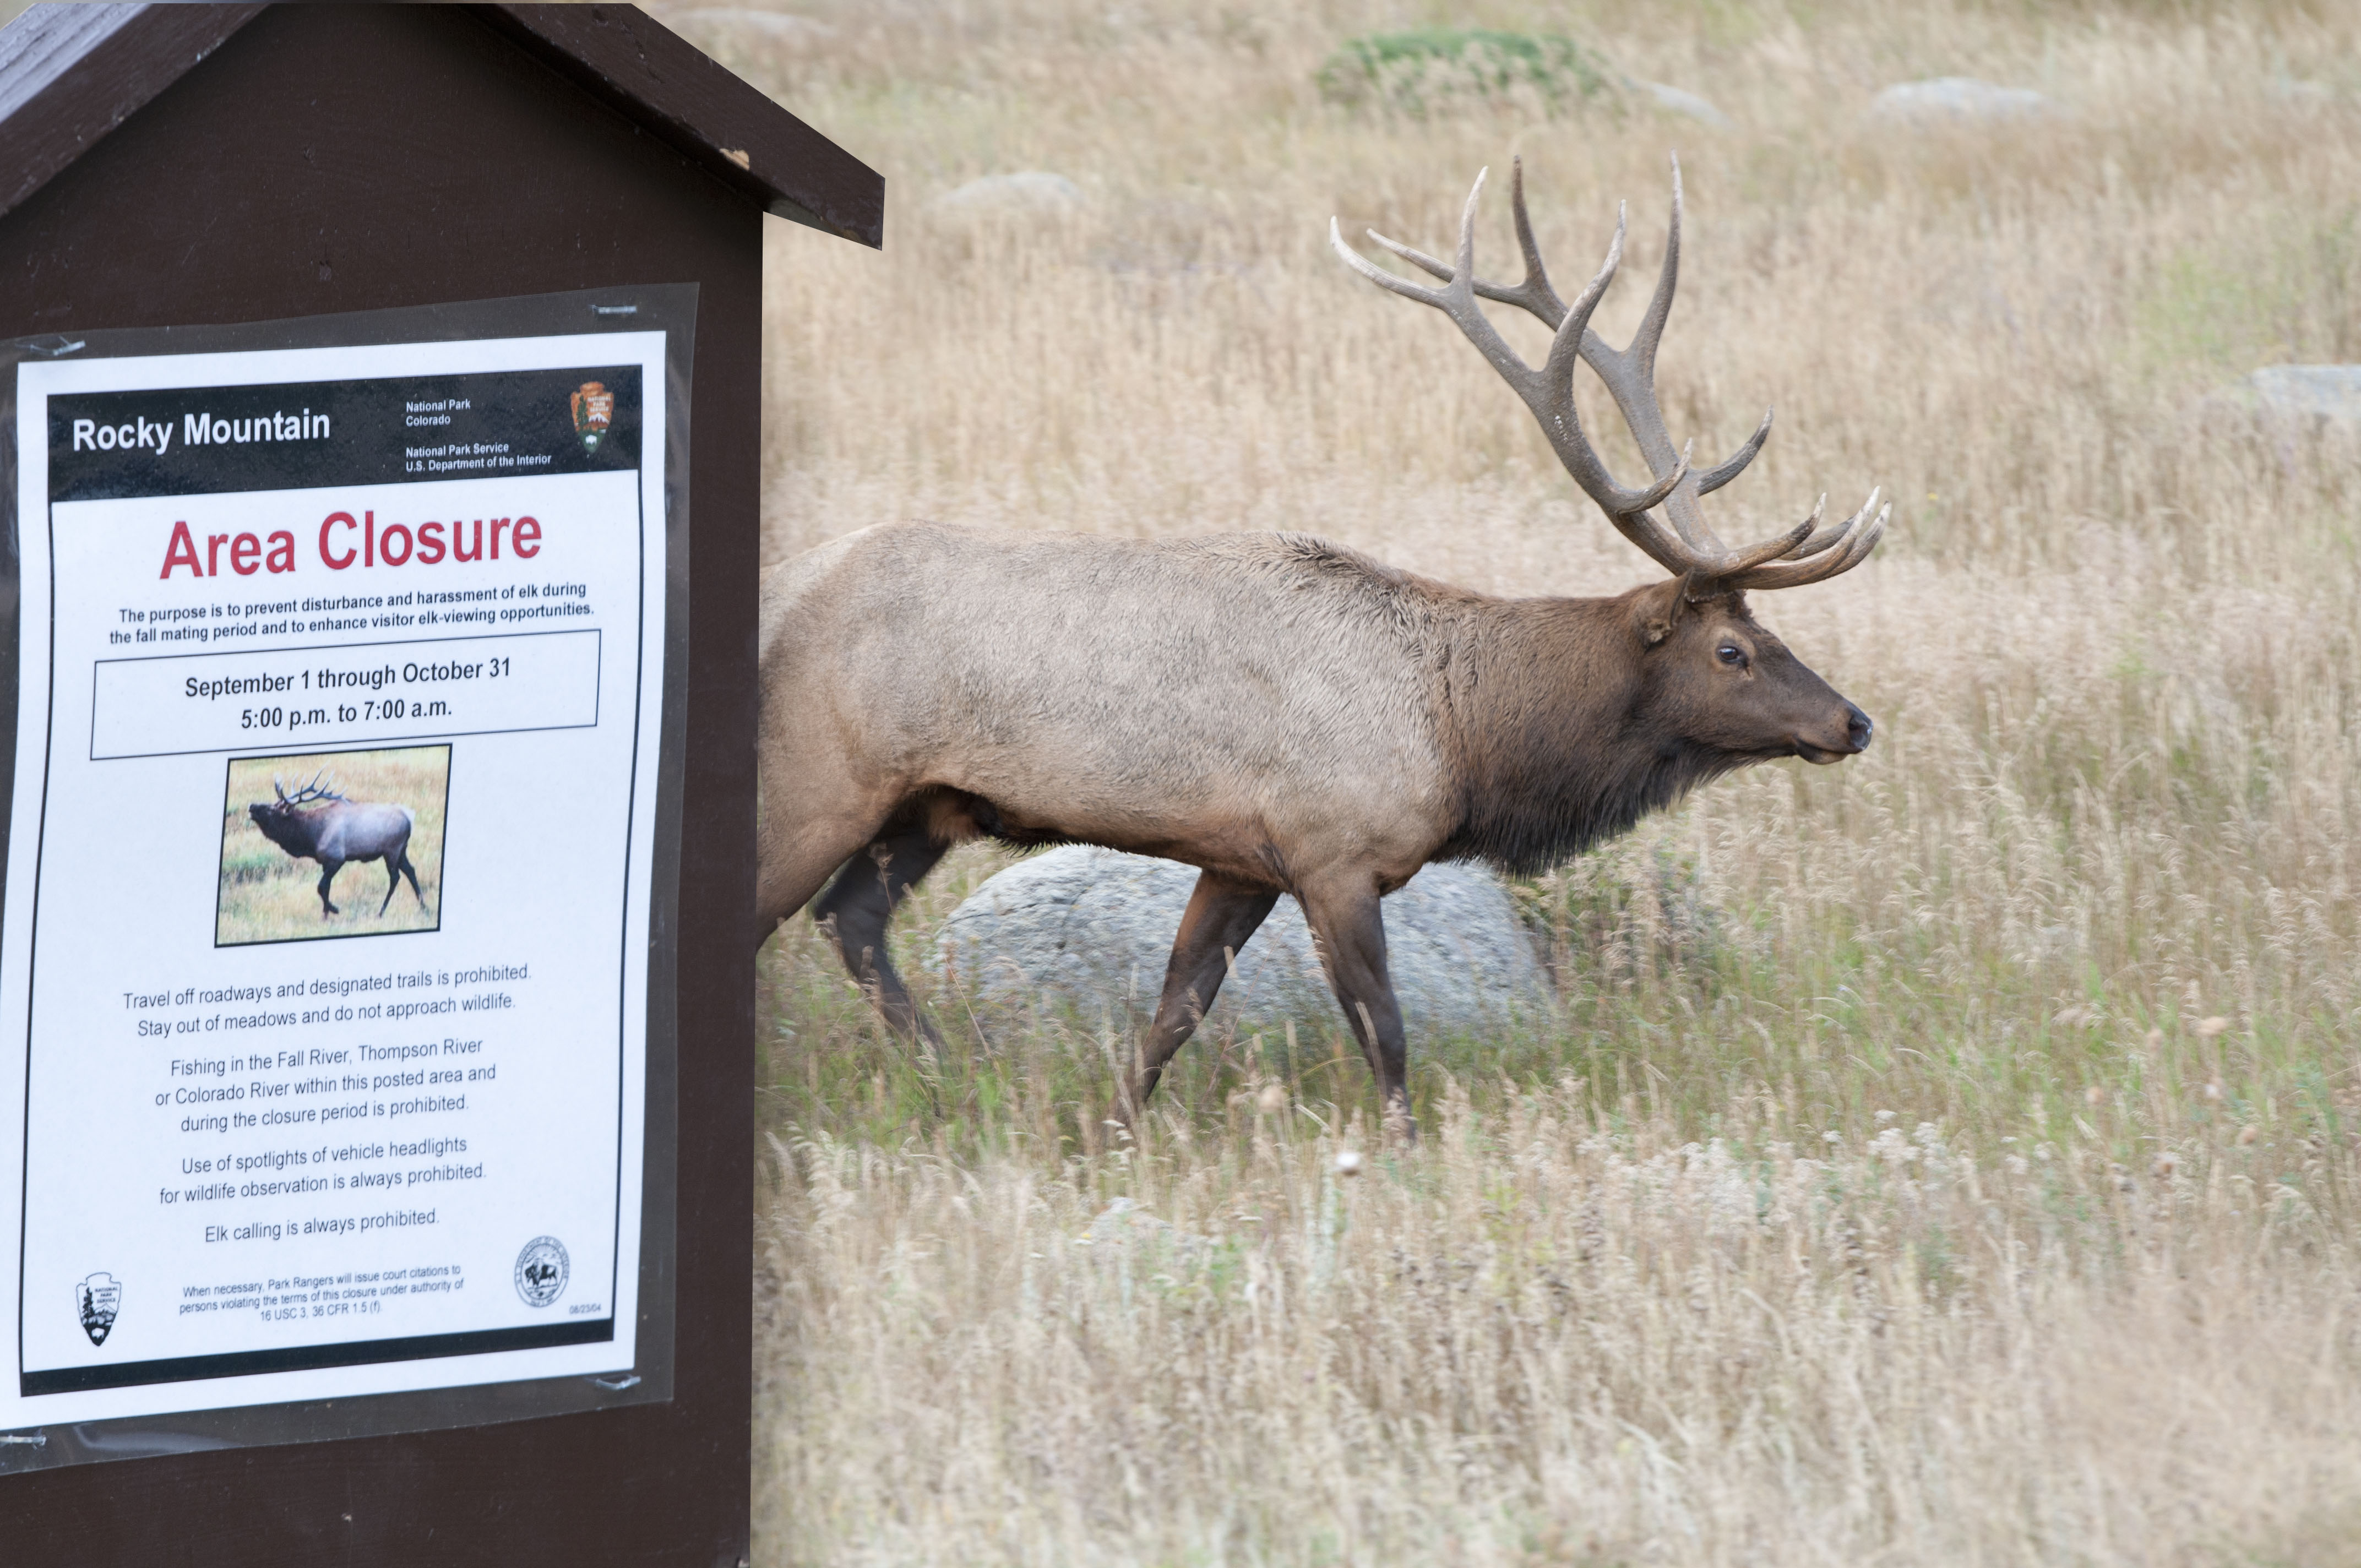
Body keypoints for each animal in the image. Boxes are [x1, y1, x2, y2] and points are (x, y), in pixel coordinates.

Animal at [247, 770, 427, 921]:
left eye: (271, 810)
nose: (251, 806)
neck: (311, 836)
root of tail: (409, 817)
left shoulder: (337, 858)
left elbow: (321, 887)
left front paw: (333, 910)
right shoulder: (325, 862)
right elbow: (326, 888)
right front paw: (325, 915)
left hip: (392, 850)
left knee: (395, 877)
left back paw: (381, 912)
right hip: (402, 850)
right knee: (411, 871)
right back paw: (424, 907)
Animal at [765, 159, 1889, 1133]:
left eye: (1766, 632)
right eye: (1731, 650)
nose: (1853, 721)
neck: (1462, 733)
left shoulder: (1243, 858)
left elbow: (1176, 1007)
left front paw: (1110, 1129)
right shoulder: (1334, 849)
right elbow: (1382, 1030)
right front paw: (1403, 1151)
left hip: (924, 804)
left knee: (849, 919)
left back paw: (947, 1072)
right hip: (822, 779)